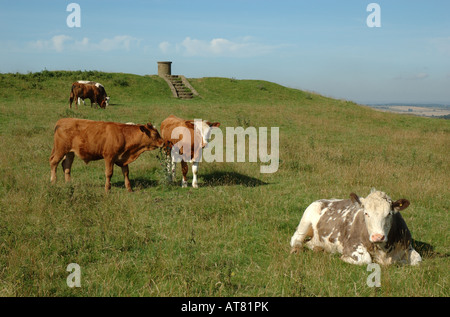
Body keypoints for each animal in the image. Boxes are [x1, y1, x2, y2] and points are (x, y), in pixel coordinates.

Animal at [290, 189, 424, 266]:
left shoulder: (407, 246)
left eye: (389, 214)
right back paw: (296, 249)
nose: (378, 237)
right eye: (366, 213)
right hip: (305, 221)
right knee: (296, 239)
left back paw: (319, 248)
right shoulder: (351, 245)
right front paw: (343, 258)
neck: (383, 250)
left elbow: (417, 260)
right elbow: (365, 259)